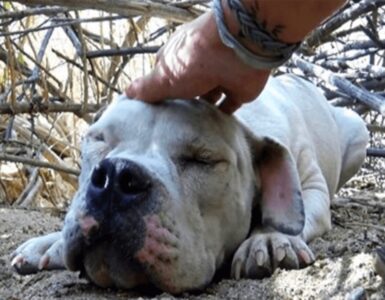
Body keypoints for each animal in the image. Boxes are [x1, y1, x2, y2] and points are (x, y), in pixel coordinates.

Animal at [10, 74, 368, 292]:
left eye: (203, 160)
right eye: (98, 139)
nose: (116, 175)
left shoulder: (312, 185)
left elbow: (295, 213)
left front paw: (269, 239)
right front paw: (49, 244)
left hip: (359, 130)